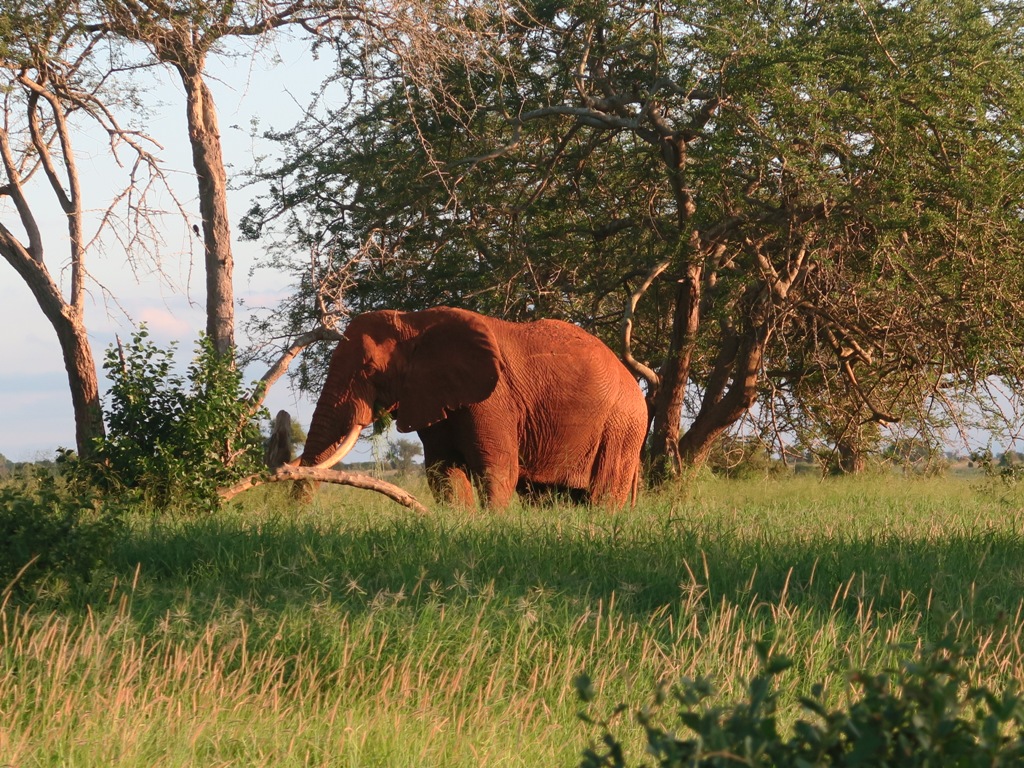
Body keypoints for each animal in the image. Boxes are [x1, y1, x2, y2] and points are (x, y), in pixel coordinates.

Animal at [299, 307, 647, 512]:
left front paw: (495, 525)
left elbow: (496, 469)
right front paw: (460, 522)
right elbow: (443, 471)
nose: (295, 516)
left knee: (602, 493)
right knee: (544, 493)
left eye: (370, 369)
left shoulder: (494, 399)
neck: (414, 321)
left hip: (622, 425)